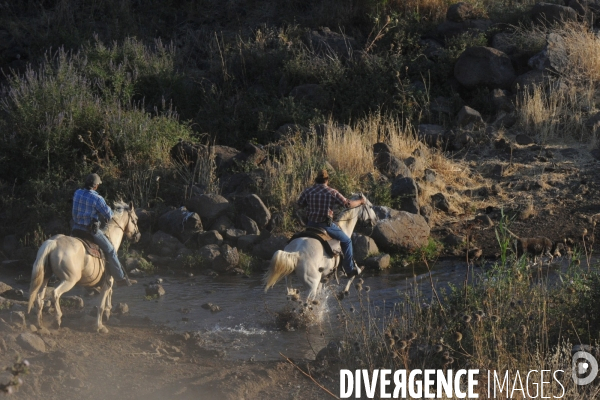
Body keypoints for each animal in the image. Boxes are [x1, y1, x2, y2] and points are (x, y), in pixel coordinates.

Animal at [28, 202, 142, 332]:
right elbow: (101, 305)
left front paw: (107, 313)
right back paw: (57, 320)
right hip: (69, 280)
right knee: (55, 293)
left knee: (39, 298)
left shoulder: (106, 282)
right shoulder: (107, 282)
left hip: (45, 278)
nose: (138, 236)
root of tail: (53, 243)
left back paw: (40, 324)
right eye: (135, 219)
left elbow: (109, 295)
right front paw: (99, 326)